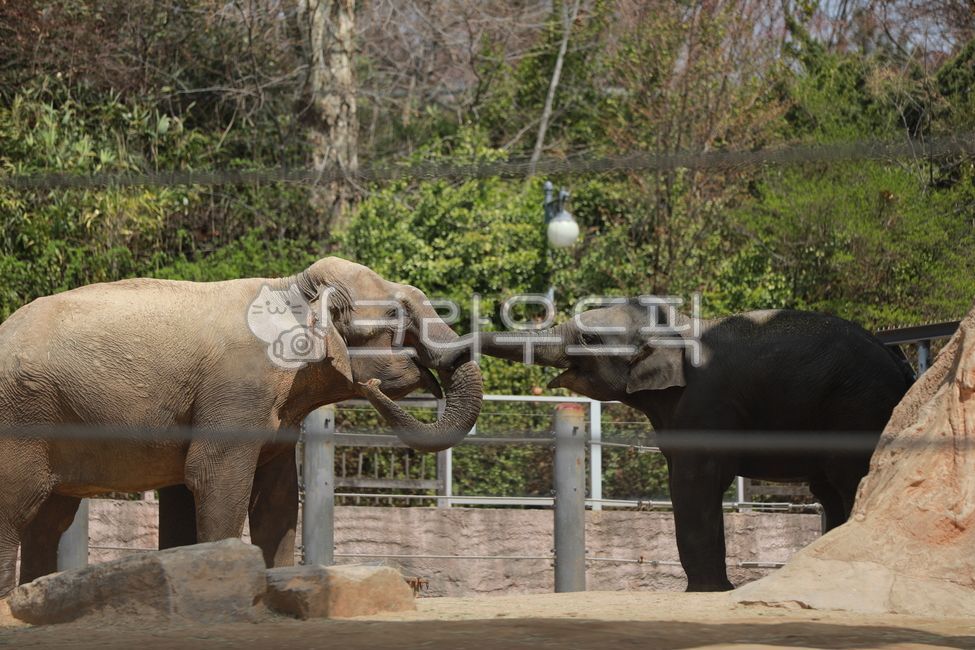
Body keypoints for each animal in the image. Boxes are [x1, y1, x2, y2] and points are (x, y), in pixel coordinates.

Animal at [0, 256, 482, 596]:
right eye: (396, 318)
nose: (379, 386)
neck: (294, 290)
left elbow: (277, 500)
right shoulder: (238, 391)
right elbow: (214, 480)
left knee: (48, 520)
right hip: (20, 415)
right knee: (17, 508)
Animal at [445, 303, 914, 591]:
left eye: (591, 339)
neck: (677, 325)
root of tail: (902, 365)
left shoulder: (707, 400)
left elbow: (694, 481)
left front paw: (709, 591)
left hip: (856, 406)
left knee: (849, 480)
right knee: (830, 491)